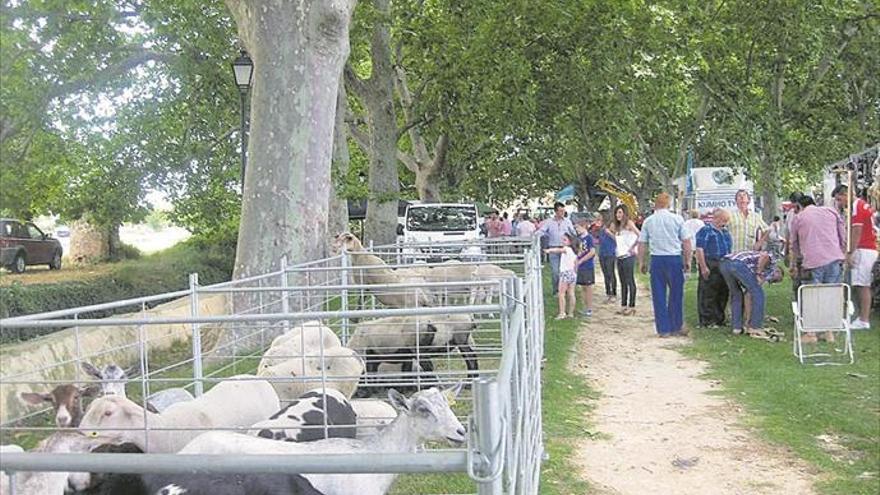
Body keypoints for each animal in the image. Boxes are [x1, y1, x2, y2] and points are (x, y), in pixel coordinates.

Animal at [346, 314, 482, 380]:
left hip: (460, 339)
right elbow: (405, 370)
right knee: (471, 357)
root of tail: (470, 319)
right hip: (464, 340)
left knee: (470, 359)